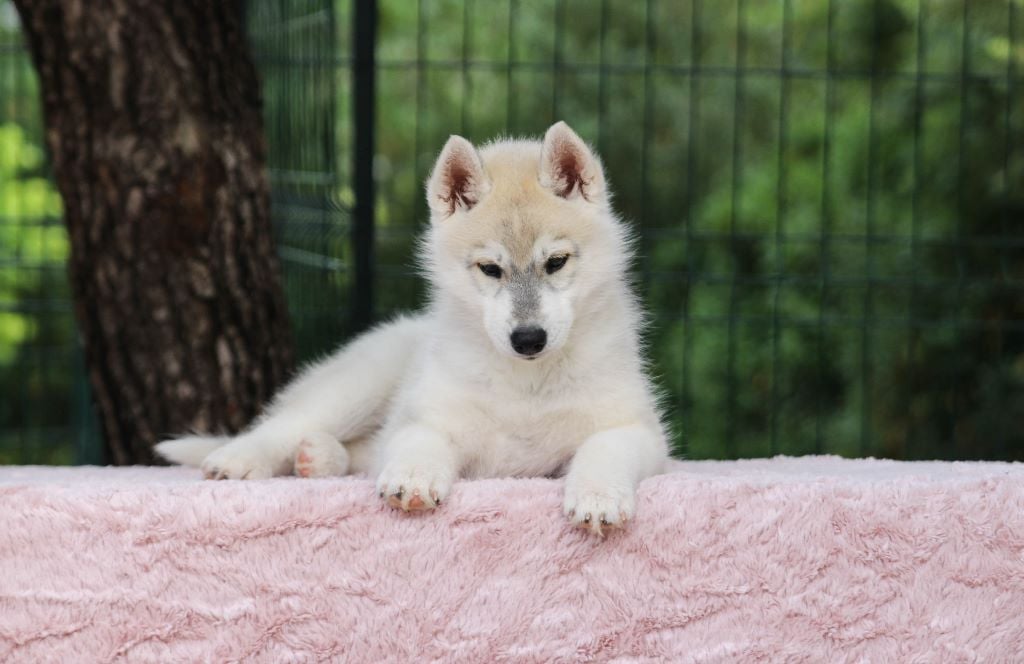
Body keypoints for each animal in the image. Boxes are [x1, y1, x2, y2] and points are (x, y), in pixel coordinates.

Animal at [156, 121, 668, 535]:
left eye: (557, 261)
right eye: (490, 269)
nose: (528, 339)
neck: (526, 387)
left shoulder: (639, 431)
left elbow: (604, 448)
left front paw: (598, 498)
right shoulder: (427, 417)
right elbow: (417, 443)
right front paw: (414, 478)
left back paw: (317, 458)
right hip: (358, 385)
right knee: (287, 423)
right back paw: (240, 458)